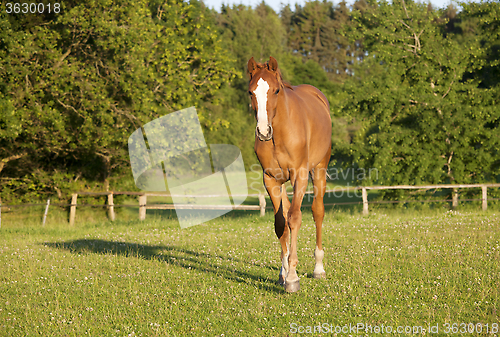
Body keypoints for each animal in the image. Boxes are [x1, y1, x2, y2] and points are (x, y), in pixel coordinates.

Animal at [247, 56, 332, 290]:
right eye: (250, 92)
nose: (263, 131)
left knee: (317, 211)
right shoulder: (271, 179)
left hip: (319, 169)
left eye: (276, 90)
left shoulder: (300, 175)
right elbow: (280, 223)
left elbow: (294, 218)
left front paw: (293, 277)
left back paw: (318, 268)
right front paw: (283, 273)